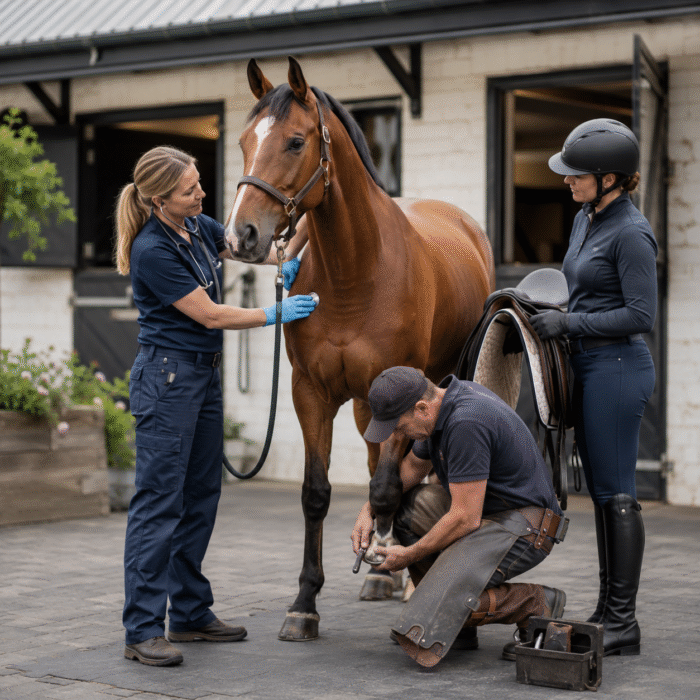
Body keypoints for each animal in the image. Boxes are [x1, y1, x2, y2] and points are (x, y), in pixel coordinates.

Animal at [225, 57, 495, 641]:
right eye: (242, 141)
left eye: (295, 141)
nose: (241, 236)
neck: (357, 272)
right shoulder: (311, 392)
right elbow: (316, 492)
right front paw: (304, 604)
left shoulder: (404, 388)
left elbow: (388, 489)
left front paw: (397, 565)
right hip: (367, 404)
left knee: (402, 476)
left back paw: (400, 574)